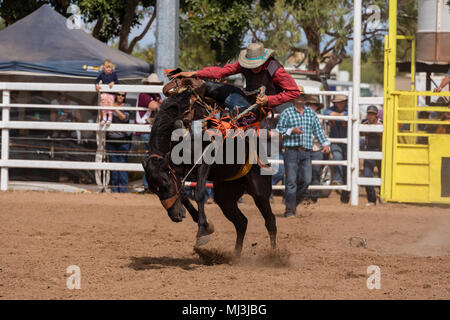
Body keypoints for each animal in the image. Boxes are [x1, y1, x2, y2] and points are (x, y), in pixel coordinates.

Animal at [143, 83, 278, 258]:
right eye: (154, 189)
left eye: (165, 184)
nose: (175, 216)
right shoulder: (178, 168)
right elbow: (182, 193)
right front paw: (207, 226)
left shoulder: (205, 160)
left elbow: (199, 192)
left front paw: (202, 232)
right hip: (225, 196)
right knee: (241, 222)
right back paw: (235, 256)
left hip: (260, 191)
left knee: (270, 221)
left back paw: (275, 255)